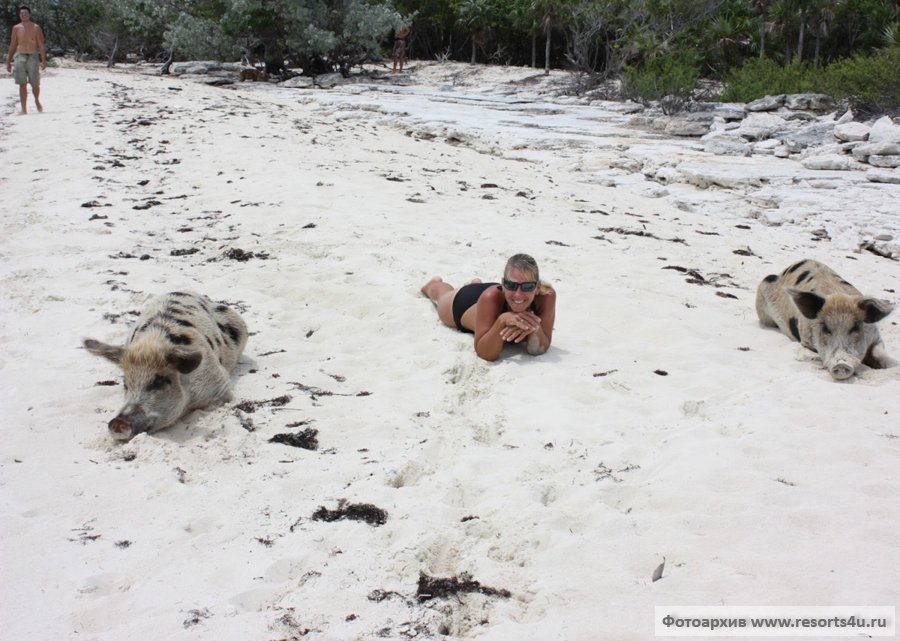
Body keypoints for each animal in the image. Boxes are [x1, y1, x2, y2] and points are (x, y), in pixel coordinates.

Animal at [756, 258, 896, 380]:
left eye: (856, 327)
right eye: (825, 328)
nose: (841, 364)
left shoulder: (876, 336)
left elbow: (880, 354)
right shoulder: (805, 339)